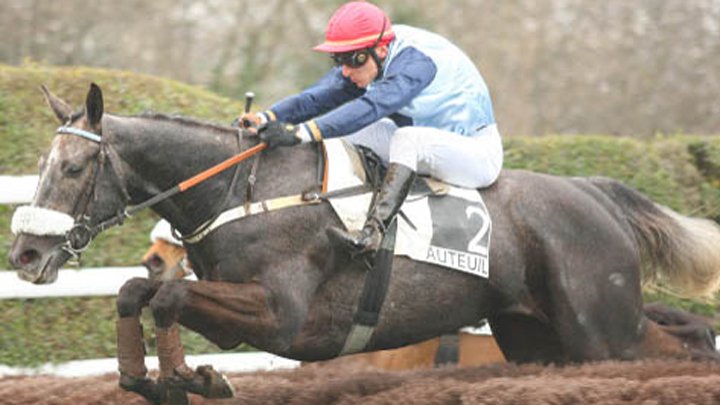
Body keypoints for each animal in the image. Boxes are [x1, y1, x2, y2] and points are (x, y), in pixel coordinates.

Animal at [9, 83, 720, 404]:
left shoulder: (283, 317)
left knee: (676, 346)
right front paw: (145, 376)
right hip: (536, 337)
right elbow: (136, 291)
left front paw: (191, 376)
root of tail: (596, 192)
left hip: (601, 329)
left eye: (74, 168)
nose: (24, 255)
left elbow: (169, 297)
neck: (244, 189)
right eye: (43, 164)